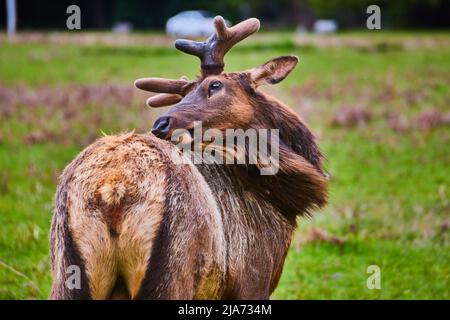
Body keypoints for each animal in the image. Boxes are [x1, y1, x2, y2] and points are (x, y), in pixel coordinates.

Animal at [50, 15, 326, 300]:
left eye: (215, 84)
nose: (160, 124)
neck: (282, 202)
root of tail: (112, 187)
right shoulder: (255, 274)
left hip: (66, 269)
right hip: (173, 270)